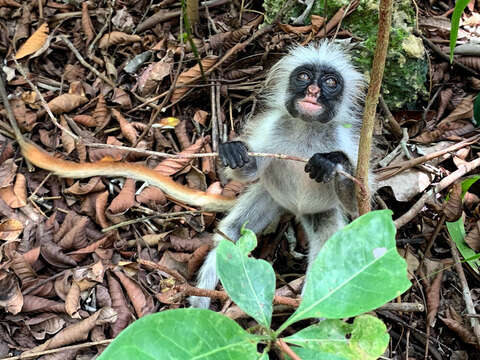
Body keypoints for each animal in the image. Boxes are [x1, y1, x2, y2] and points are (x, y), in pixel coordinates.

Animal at [189, 40, 366, 308]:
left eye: (330, 82)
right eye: (303, 77)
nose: (313, 91)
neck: (307, 128)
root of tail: (295, 209)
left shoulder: (342, 138)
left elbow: (357, 203)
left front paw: (333, 162)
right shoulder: (274, 128)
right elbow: (250, 170)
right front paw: (234, 151)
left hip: (320, 212)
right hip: (270, 196)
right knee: (230, 236)